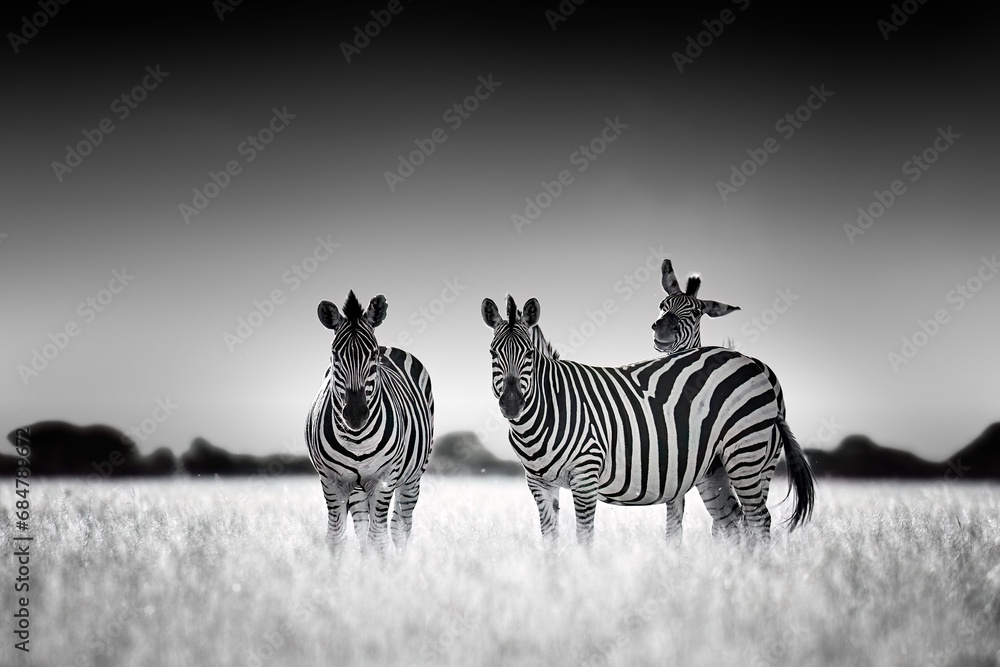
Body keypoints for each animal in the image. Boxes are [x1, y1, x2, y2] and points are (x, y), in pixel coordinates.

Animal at [305, 291, 434, 555]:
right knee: (363, 530)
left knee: (399, 528)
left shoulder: (385, 478)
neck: (357, 439)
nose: (355, 415)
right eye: (335, 355)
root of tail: (390, 347)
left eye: (373, 355)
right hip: (357, 488)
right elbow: (337, 537)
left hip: (412, 478)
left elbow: (379, 539)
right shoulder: (330, 480)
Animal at [482, 295, 814, 544]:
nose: (511, 404)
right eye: (492, 354)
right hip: (716, 468)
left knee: (759, 521)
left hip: (747, 454)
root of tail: (753, 363)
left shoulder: (586, 474)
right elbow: (549, 541)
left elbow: (584, 538)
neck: (549, 408)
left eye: (529, 355)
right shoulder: (539, 483)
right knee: (734, 524)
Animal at [652, 259, 804, 537]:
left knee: (749, 517)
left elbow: (676, 519)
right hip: (761, 465)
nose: (664, 330)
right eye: (662, 305)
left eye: (696, 313)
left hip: (747, 459)